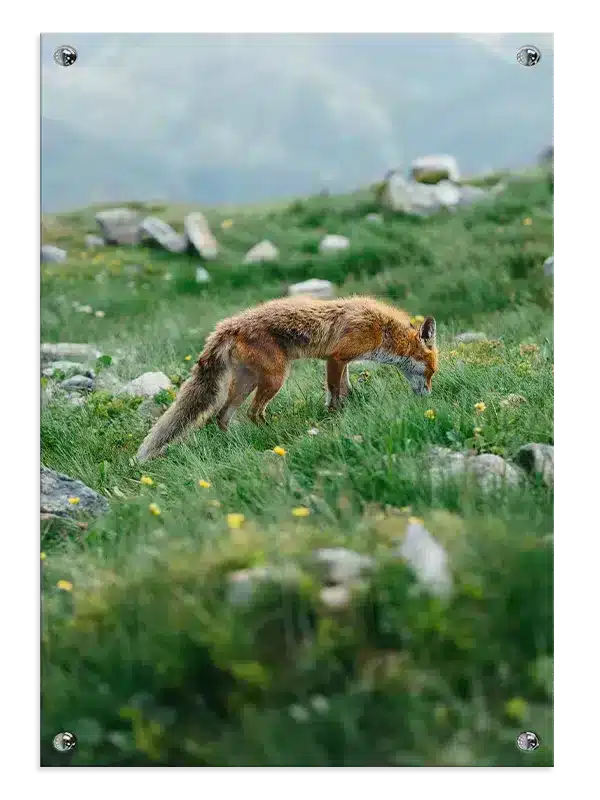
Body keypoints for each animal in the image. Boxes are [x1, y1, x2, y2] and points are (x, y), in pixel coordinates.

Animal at [136, 295, 438, 462]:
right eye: (431, 372)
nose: (428, 397)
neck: (383, 330)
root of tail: (230, 324)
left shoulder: (341, 362)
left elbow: (345, 390)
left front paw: (348, 408)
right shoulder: (336, 358)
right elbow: (334, 393)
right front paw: (334, 416)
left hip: (247, 382)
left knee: (221, 416)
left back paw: (233, 442)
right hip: (276, 378)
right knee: (253, 413)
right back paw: (272, 435)